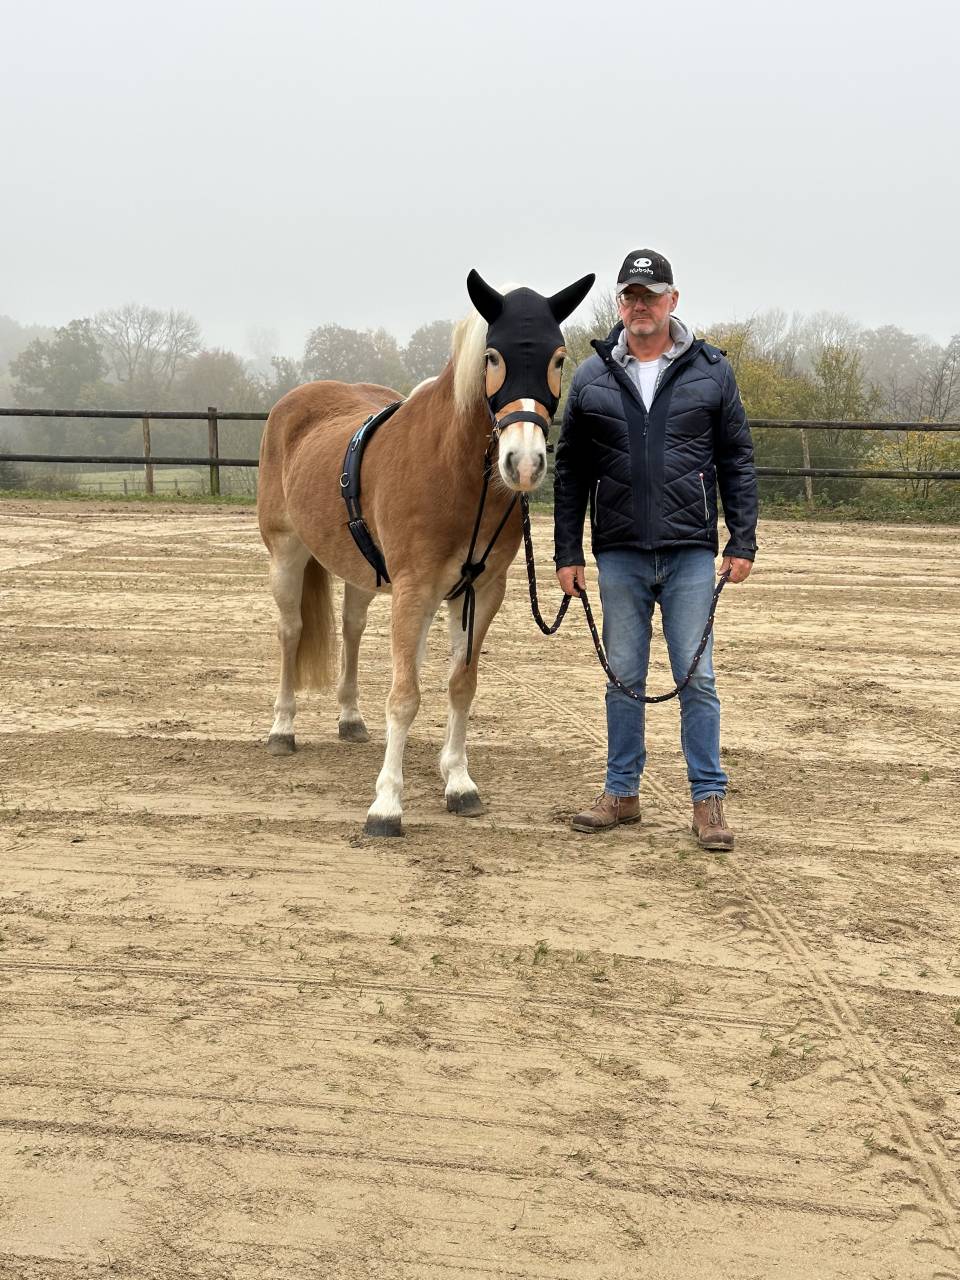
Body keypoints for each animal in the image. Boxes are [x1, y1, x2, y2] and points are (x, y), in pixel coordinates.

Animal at [256, 269, 594, 836]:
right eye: (492, 356)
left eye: (558, 357)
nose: (524, 463)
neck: (452, 470)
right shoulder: (415, 588)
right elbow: (404, 695)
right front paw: (386, 805)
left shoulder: (479, 591)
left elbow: (460, 684)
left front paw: (458, 781)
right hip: (287, 553)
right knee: (291, 632)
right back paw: (282, 728)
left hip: (368, 576)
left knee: (352, 629)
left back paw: (350, 718)